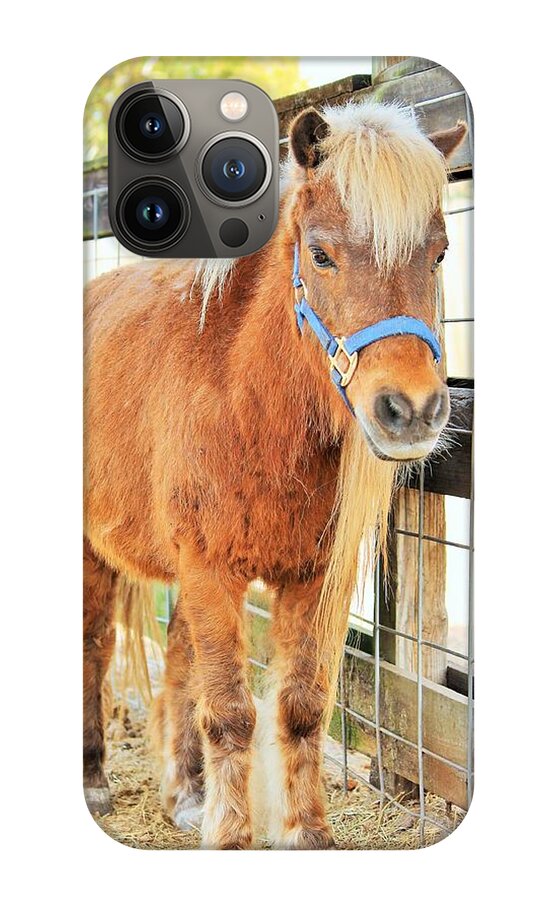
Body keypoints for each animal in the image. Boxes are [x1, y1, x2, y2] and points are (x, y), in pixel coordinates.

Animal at [83, 100, 467, 849]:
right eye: (319, 254)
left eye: (438, 254)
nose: (411, 411)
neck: (247, 399)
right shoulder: (210, 568)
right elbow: (231, 712)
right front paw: (233, 838)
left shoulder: (313, 578)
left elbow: (300, 707)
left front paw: (305, 834)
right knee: (94, 648)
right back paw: (93, 780)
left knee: (178, 660)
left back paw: (185, 794)